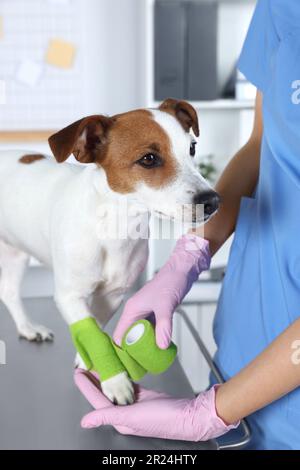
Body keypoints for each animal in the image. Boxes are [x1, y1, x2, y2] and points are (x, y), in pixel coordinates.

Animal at [0, 98, 219, 404]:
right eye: (148, 159)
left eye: (192, 148)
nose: (212, 201)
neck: (114, 227)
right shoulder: (69, 295)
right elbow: (91, 329)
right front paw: (115, 381)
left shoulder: (113, 294)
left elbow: (97, 325)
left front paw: (86, 358)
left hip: (15, 253)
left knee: (8, 291)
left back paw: (28, 328)